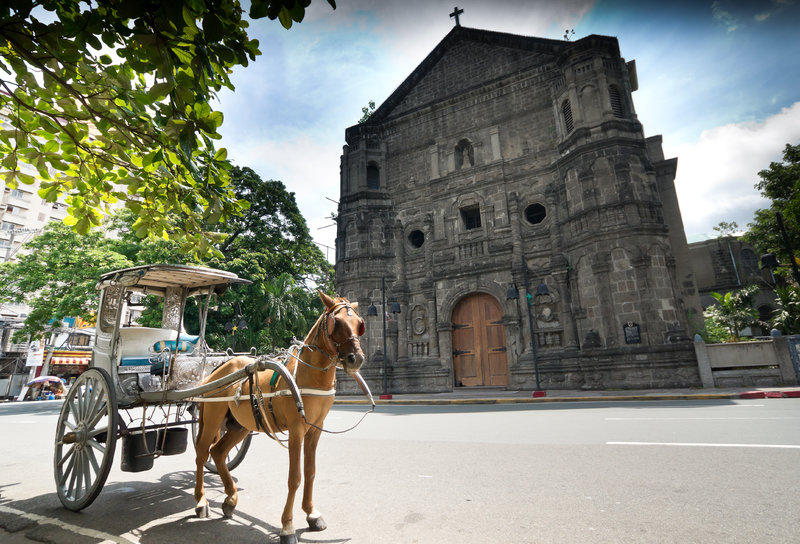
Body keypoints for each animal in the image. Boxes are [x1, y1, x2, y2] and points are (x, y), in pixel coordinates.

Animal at [192, 294, 368, 544]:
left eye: (359, 324)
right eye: (337, 323)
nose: (356, 359)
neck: (309, 375)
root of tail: (218, 370)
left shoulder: (316, 429)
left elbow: (310, 472)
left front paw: (312, 514)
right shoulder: (296, 430)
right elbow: (294, 477)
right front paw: (288, 526)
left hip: (239, 426)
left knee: (217, 452)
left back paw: (230, 499)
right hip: (212, 417)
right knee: (201, 454)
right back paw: (200, 501)